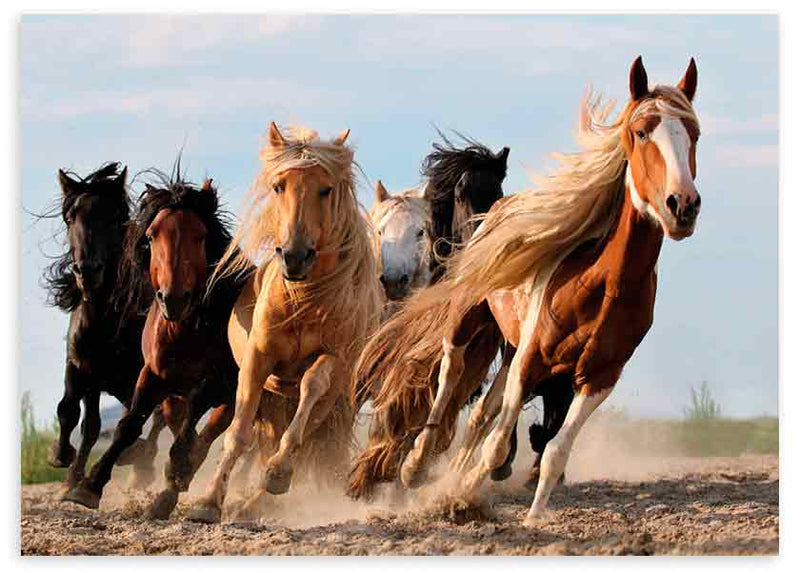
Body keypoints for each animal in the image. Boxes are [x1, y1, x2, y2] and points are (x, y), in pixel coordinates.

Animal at [43, 162, 166, 492]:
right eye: (70, 218)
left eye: (113, 218)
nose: (87, 271)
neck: (105, 320)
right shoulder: (82, 367)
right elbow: (74, 413)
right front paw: (64, 462)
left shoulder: (138, 375)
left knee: (157, 418)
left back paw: (141, 464)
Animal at [191, 124, 384, 524]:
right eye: (279, 186)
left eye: (326, 189)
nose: (295, 256)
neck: (303, 300)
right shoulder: (257, 360)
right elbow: (238, 433)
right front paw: (207, 501)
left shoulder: (333, 360)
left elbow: (311, 388)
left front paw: (277, 473)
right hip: (274, 398)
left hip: (329, 403)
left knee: (304, 437)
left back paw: (259, 497)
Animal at [350, 58, 700, 528]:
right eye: (642, 132)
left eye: (694, 133)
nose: (681, 205)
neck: (601, 285)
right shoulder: (530, 358)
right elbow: (495, 441)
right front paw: (456, 492)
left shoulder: (599, 376)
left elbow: (553, 450)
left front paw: (530, 517)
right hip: (469, 319)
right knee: (448, 374)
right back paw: (416, 464)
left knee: (482, 413)